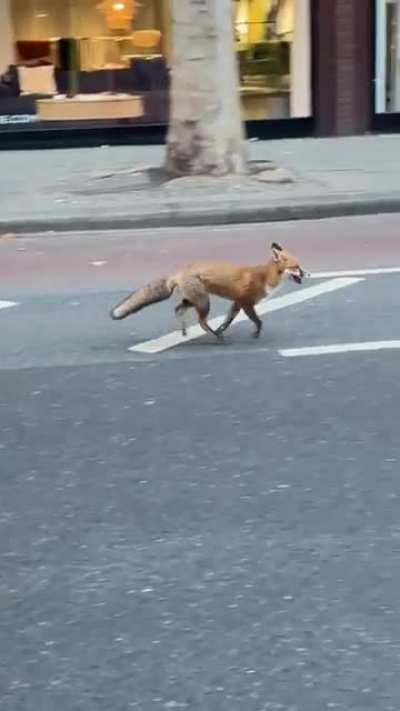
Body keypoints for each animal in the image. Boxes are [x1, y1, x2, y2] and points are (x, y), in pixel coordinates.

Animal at [110, 242, 306, 340]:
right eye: (296, 267)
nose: (307, 273)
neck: (265, 277)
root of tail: (178, 273)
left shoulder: (237, 303)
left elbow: (227, 321)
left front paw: (221, 329)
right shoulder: (246, 302)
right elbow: (258, 321)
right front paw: (256, 334)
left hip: (194, 301)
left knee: (178, 309)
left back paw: (185, 331)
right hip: (204, 302)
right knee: (201, 322)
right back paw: (215, 337)